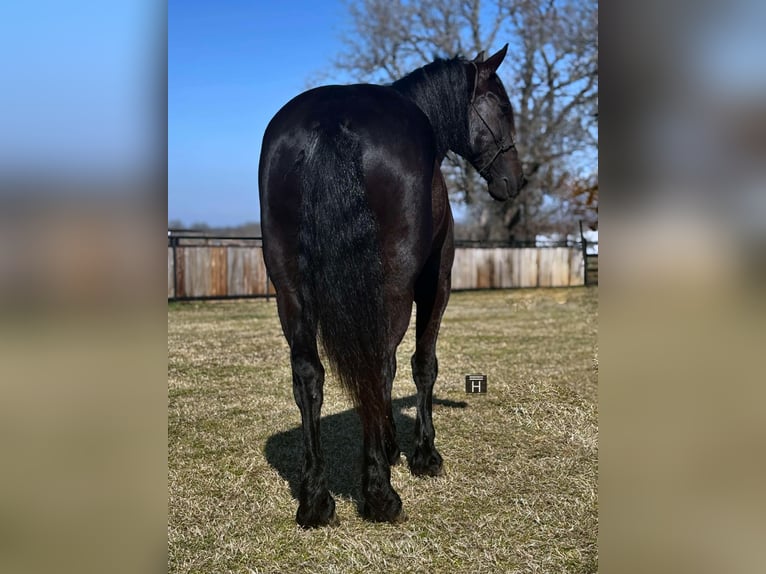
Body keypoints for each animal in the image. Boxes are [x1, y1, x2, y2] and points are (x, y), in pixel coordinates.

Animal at [260, 46, 524, 532]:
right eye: (502, 106)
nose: (514, 180)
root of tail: (332, 121)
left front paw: (392, 445)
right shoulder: (437, 282)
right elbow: (423, 364)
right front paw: (422, 454)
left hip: (289, 289)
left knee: (309, 375)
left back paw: (316, 501)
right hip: (395, 286)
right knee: (377, 366)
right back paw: (381, 496)